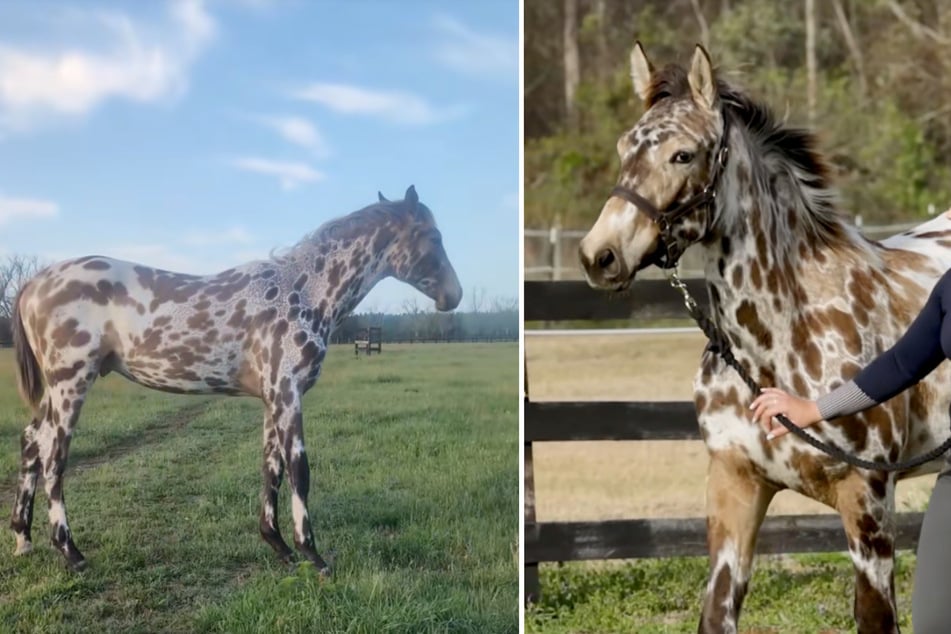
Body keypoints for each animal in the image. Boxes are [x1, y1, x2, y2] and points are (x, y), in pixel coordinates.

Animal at [9, 185, 462, 574]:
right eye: (433, 235)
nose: (453, 296)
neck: (302, 292)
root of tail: (33, 284)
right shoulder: (288, 394)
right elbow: (299, 471)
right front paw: (313, 556)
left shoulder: (272, 399)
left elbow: (271, 469)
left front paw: (278, 546)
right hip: (71, 385)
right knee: (54, 457)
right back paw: (71, 552)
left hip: (55, 391)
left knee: (31, 442)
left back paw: (23, 539)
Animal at [578, 43, 951, 633]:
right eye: (623, 148)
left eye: (683, 155)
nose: (600, 255)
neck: (775, 344)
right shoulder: (735, 484)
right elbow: (717, 612)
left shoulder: (867, 501)